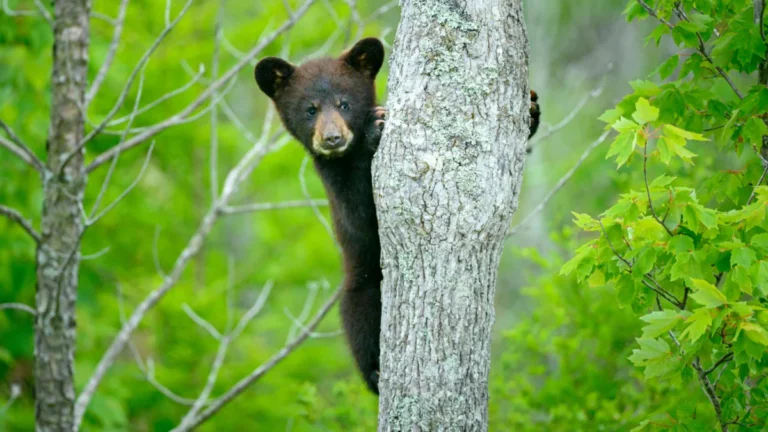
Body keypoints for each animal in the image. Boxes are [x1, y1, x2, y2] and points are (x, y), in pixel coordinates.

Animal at [254, 37, 540, 394]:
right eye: (310, 109)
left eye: (344, 104)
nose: (333, 138)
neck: (348, 157)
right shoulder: (335, 182)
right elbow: (362, 214)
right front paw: (374, 130)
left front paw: (531, 110)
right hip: (362, 282)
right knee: (359, 316)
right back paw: (375, 372)